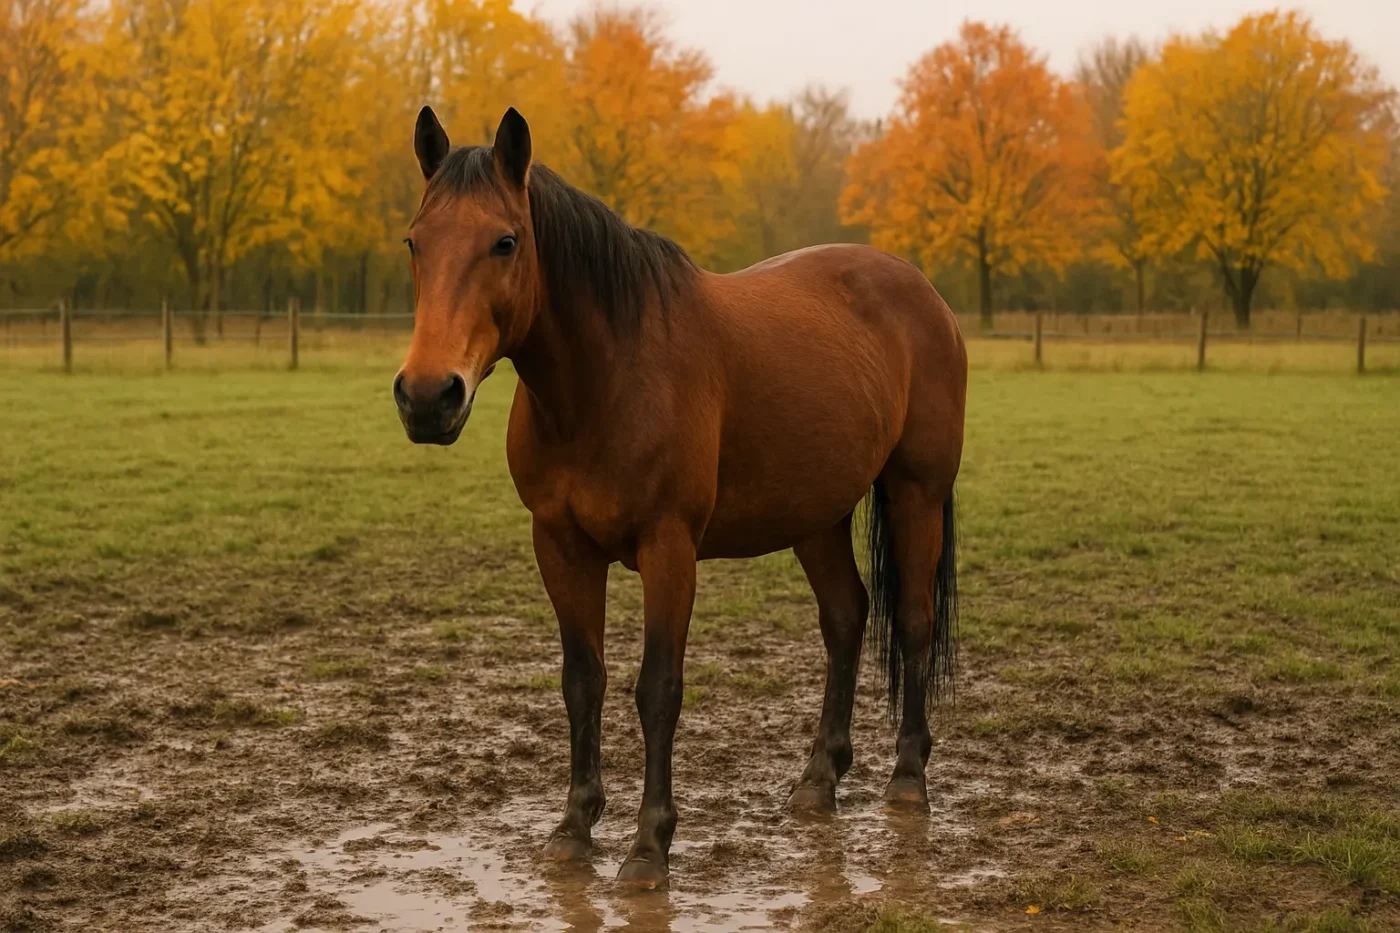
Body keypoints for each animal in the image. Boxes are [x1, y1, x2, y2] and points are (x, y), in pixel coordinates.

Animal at [394, 106, 967, 888]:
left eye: (504, 241)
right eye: (415, 241)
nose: (428, 398)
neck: (606, 380)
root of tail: (922, 292)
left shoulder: (669, 549)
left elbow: (657, 688)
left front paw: (648, 846)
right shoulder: (560, 546)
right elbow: (583, 681)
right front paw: (575, 828)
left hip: (917, 493)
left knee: (911, 619)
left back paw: (908, 777)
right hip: (816, 514)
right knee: (847, 617)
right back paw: (819, 779)